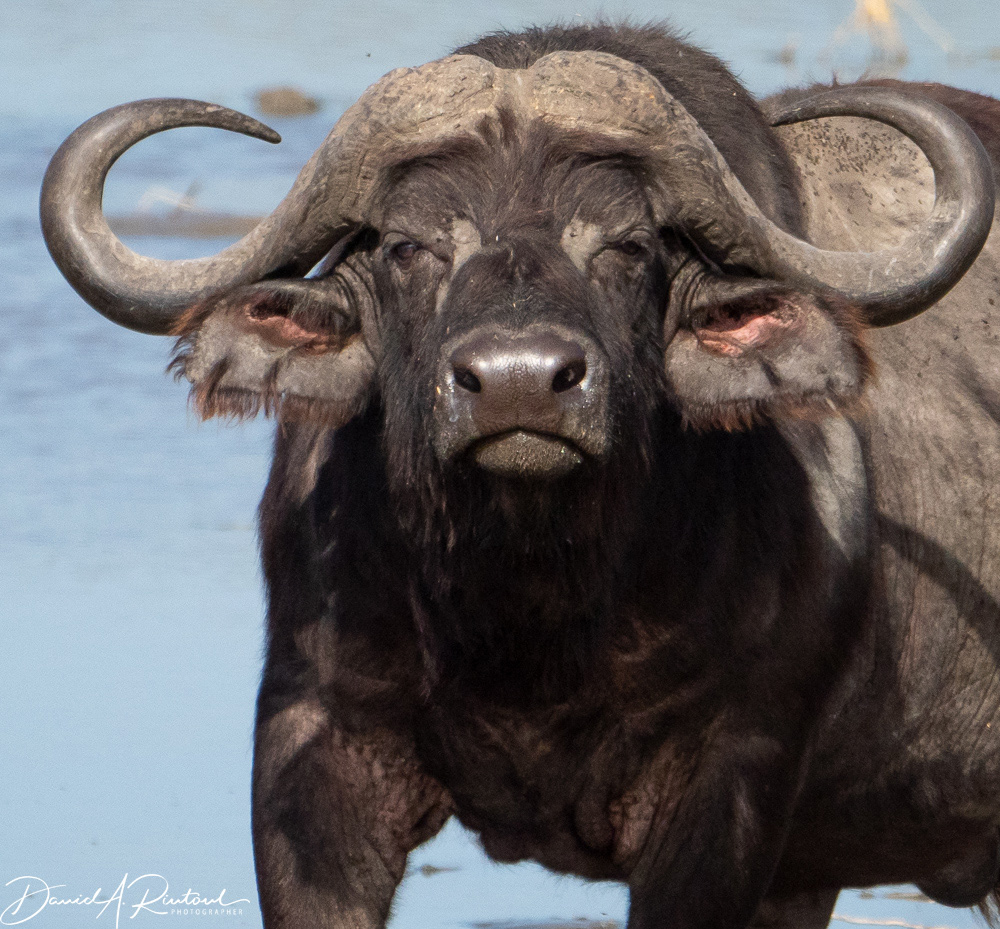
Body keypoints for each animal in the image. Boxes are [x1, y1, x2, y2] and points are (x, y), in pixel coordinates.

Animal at [41, 22, 1000, 929]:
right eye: (407, 246)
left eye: (628, 245)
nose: (518, 381)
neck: (524, 612)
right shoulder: (312, 745)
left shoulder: (726, 792)